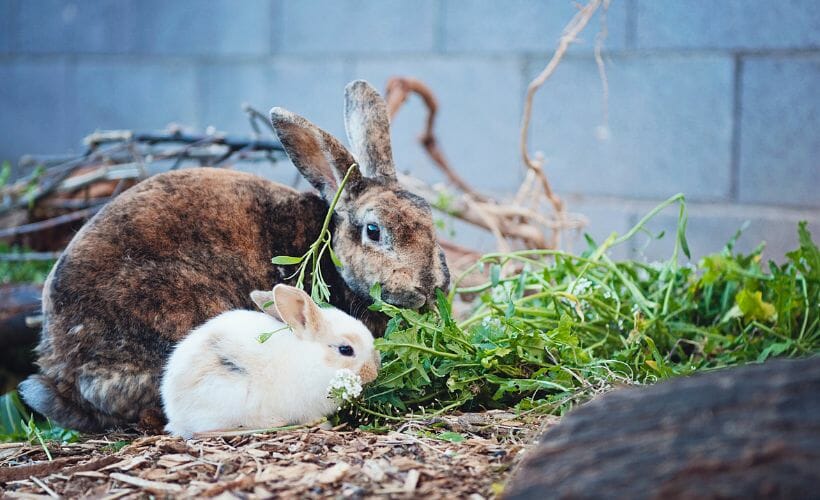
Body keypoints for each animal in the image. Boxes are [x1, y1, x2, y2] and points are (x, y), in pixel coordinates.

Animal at [161, 284, 382, 440]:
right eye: (346, 350)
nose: (374, 372)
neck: (313, 358)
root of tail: (174, 413)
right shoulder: (308, 408)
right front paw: (326, 427)